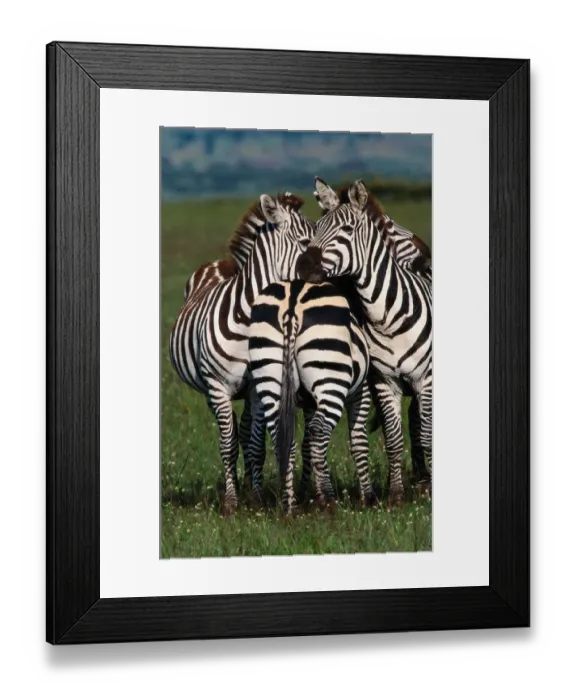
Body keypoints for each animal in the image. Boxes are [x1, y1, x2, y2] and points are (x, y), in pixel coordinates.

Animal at [169, 193, 315, 514]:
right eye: (305, 241)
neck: (247, 318)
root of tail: (220, 263)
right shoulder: (217, 386)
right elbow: (228, 443)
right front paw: (231, 503)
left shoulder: (257, 387)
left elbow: (255, 444)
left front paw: (256, 498)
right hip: (210, 390)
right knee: (231, 432)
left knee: (247, 431)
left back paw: (250, 486)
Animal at [248, 279, 375, 513]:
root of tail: (291, 304)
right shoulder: (361, 392)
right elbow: (359, 441)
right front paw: (368, 498)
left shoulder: (308, 402)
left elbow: (305, 445)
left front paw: (305, 492)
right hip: (330, 377)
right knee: (319, 430)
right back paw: (328, 499)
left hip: (269, 376)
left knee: (283, 436)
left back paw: (290, 506)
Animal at [299, 179, 433, 508]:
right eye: (317, 227)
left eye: (347, 229)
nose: (304, 266)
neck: (387, 316)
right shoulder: (384, 380)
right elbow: (394, 439)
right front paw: (396, 495)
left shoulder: (425, 378)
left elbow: (426, 434)